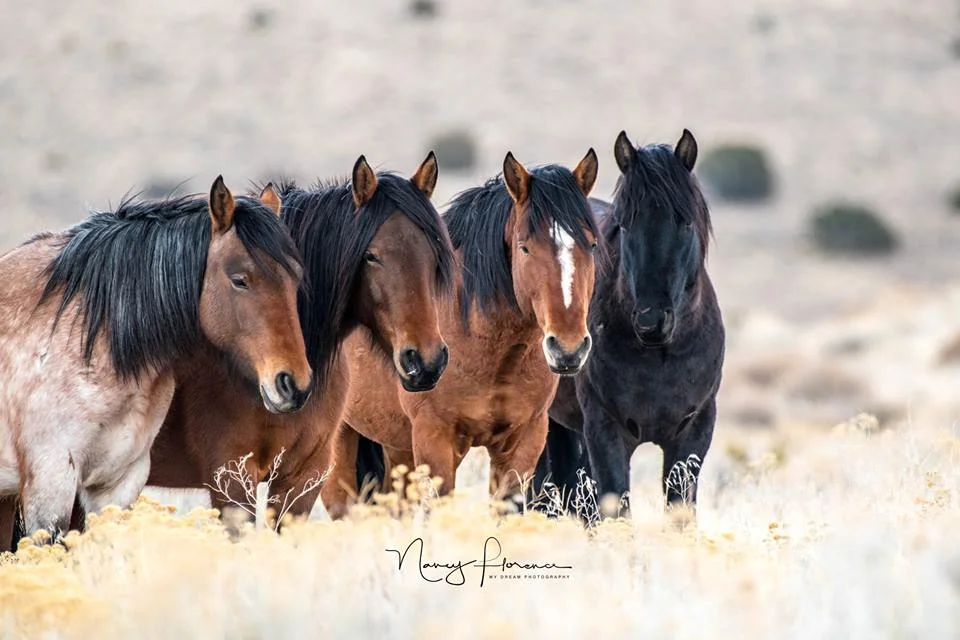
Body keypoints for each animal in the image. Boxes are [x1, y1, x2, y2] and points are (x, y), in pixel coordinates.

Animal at [534, 129, 725, 523]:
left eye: (685, 222)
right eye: (624, 224)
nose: (652, 321)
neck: (660, 356)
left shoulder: (694, 432)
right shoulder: (606, 431)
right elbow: (615, 508)